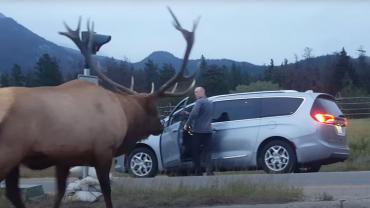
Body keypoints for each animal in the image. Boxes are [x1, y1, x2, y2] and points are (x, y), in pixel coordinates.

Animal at [0, 8, 199, 208]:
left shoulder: (64, 157)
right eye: (154, 109)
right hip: (9, 150)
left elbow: (59, 193)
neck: (124, 118)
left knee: (12, 192)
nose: (161, 126)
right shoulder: (103, 150)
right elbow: (106, 190)